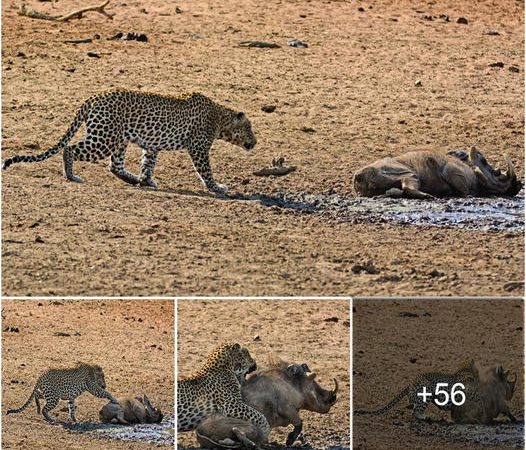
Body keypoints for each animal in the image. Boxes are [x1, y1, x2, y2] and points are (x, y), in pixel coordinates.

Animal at [2, 89, 258, 193]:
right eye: (249, 128)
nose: (255, 142)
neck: (220, 118)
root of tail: (94, 97)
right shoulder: (199, 148)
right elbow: (206, 171)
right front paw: (217, 187)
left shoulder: (153, 147)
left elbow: (148, 164)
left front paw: (145, 180)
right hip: (103, 139)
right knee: (69, 148)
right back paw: (71, 176)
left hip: (118, 140)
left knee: (115, 166)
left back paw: (132, 178)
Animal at [354, 358, 482, 422]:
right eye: (477, 372)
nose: (479, 379)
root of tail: (409, 384)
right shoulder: (462, 392)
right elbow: (473, 395)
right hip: (427, 390)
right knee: (416, 411)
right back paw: (426, 417)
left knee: (414, 410)